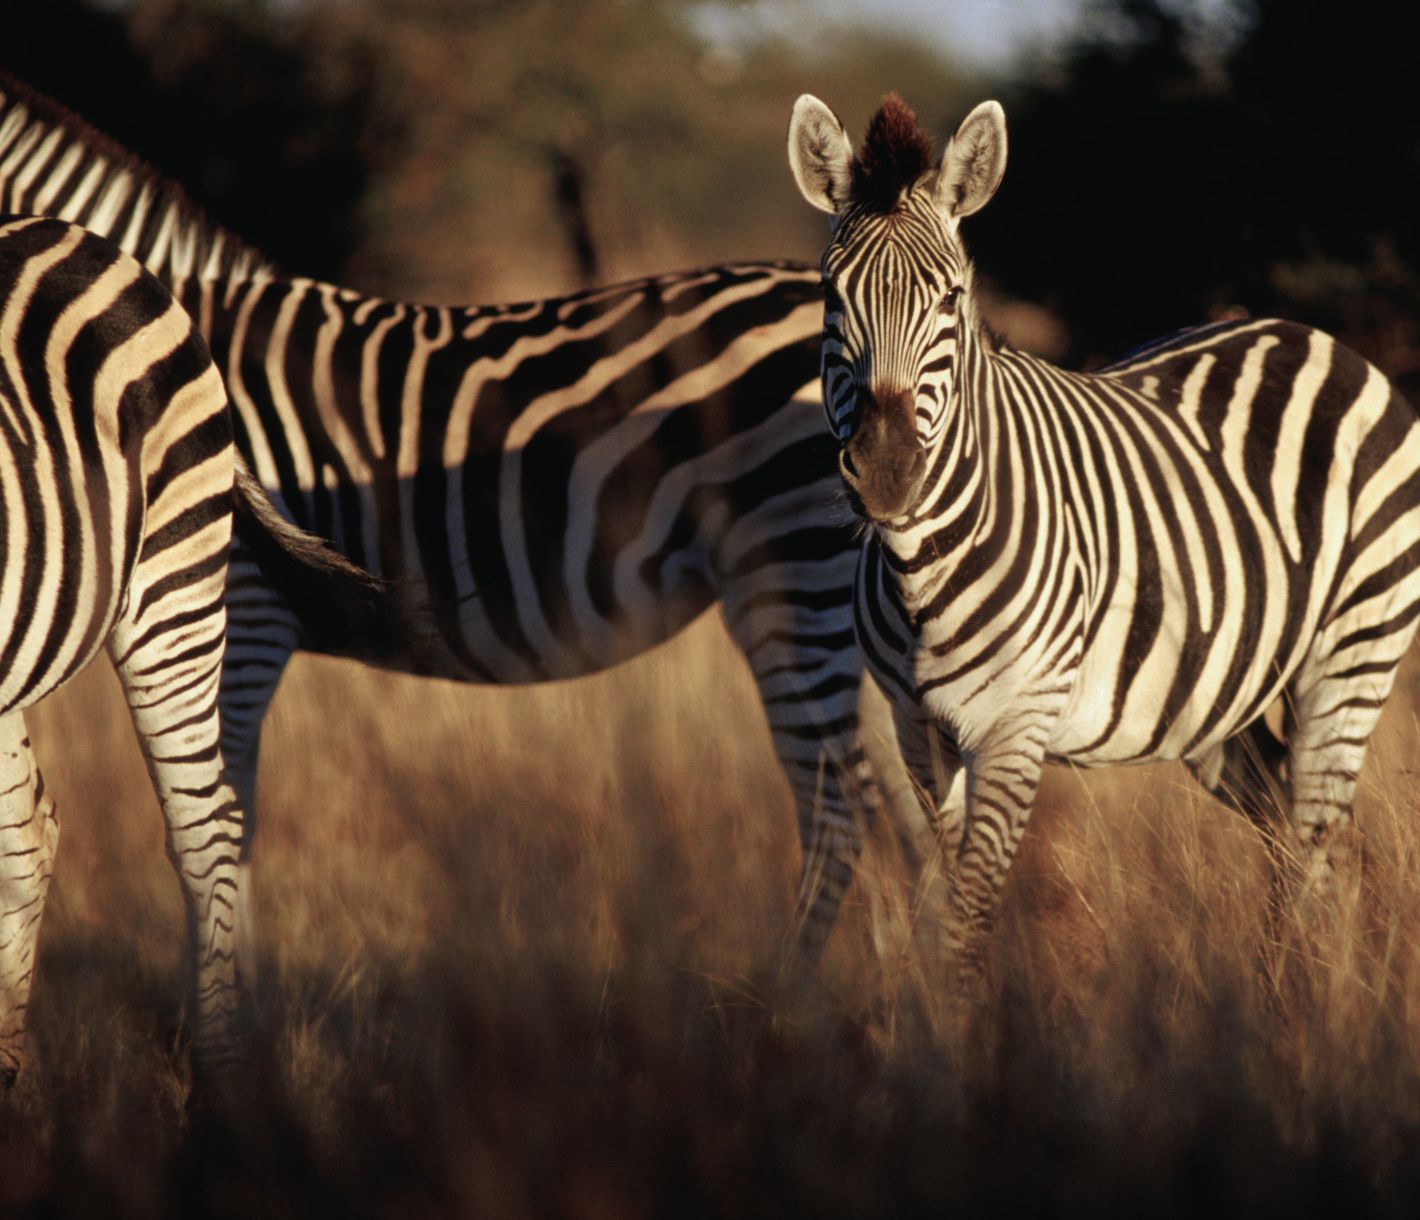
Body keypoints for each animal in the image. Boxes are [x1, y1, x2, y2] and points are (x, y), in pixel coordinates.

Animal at [0, 70, 921, 959]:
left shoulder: (239, 607)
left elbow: (228, 822)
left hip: (788, 579)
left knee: (839, 813)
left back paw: (791, 999)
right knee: (906, 805)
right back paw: (916, 1002)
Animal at [786, 92, 1420, 976]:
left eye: (950, 300)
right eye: (832, 298)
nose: (885, 472)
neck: (923, 570)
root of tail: (1316, 338)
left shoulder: (1015, 726)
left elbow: (968, 921)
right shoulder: (920, 733)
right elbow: (946, 911)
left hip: (1356, 648)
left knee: (1313, 837)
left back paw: (1300, 999)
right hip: (1216, 699)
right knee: (1300, 840)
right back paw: (1298, 994)